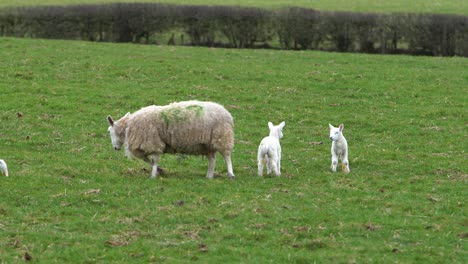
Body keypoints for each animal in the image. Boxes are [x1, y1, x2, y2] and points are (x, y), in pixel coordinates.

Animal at [108, 100, 236, 179]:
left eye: (109, 132)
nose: (115, 148)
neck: (128, 126)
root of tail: (227, 114)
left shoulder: (153, 142)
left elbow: (154, 160)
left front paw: (153, 175)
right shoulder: (146, 145)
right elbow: (146, 159)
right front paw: (159, 170)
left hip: (222, 136)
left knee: (226, 155)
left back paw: (230, 174)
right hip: (207, 144)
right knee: (212, 159)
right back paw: (209, 176)